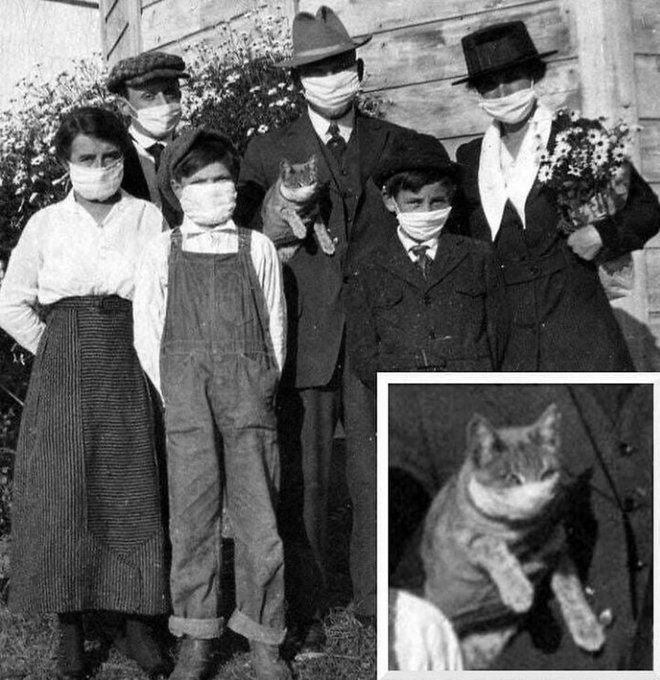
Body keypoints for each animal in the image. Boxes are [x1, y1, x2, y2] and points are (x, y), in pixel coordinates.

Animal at [422, 404, 604, 668]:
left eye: (546, 473)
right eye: (512, 478)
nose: (537, 498)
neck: (525, 528)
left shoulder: (557, 542)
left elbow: (569, 584)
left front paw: (586, 627)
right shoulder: (462, 533)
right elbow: (490, 545)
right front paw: (517, 589)